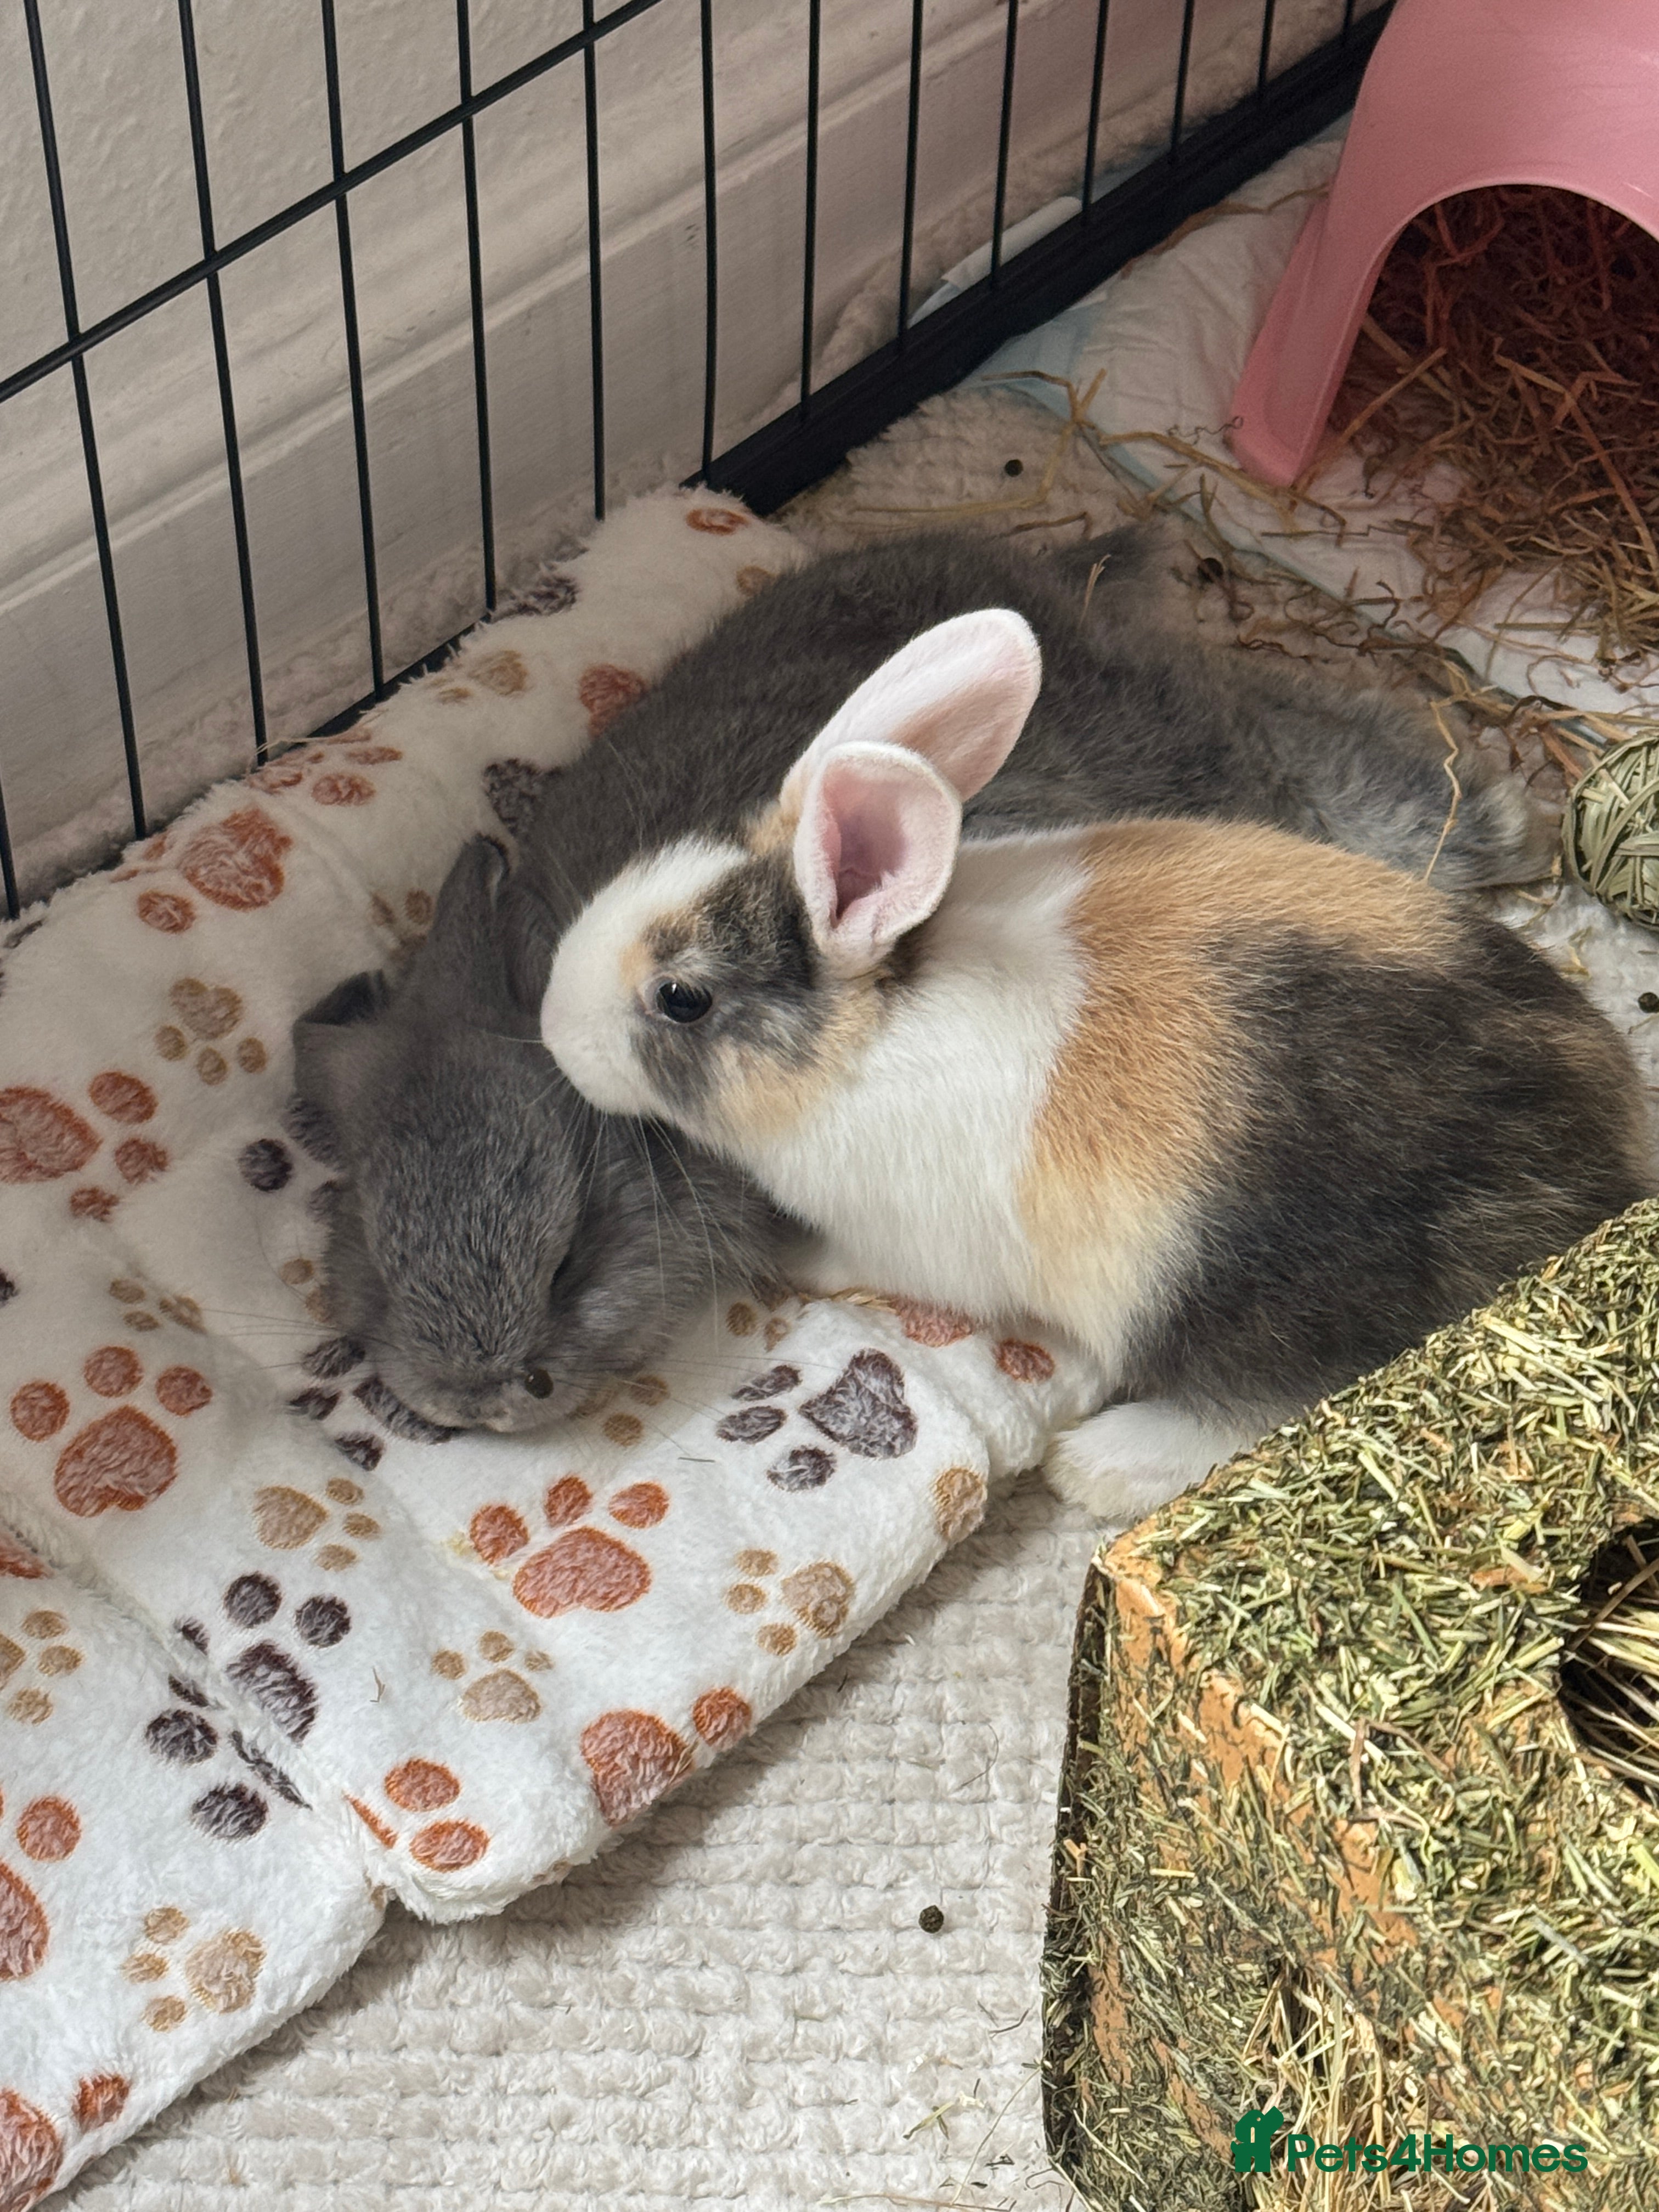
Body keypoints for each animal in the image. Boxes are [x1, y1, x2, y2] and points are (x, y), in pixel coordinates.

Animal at [537, 606, 1648, 1520]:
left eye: (681, 997)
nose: (551, 1028)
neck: (864, 1033)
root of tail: (1595, 1176)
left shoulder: (899, 1239)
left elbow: (852, 1263)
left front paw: (793, 1265)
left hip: (1240, 1298)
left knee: (1269, 1405)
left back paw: (1097, 1465)